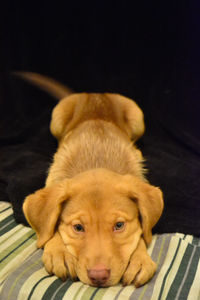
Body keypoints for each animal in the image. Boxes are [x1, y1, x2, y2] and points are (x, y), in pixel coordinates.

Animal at [19, 72, 164, 286]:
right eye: (78, 227)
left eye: (119, 225)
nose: (99, 276)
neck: (96, 161)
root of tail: (96, 93)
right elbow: (49, 226)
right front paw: (59, 252)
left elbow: (139, 233)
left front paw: (138, 258)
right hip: (57, 118)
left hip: (137, 117)